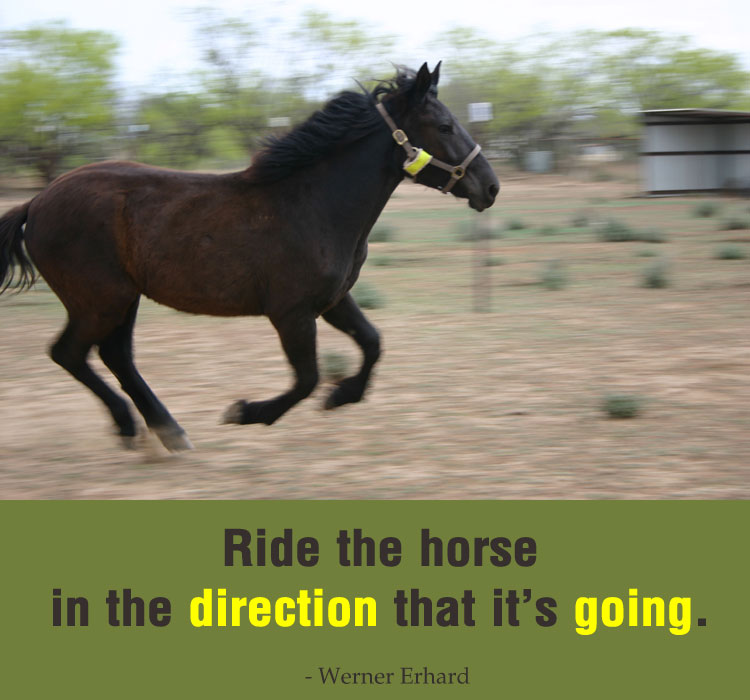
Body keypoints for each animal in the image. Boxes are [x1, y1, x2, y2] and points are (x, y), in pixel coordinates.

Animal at [0, 62, 499, 451]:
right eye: (445, 126)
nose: (490, 187)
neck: (313, 204)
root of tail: (36, 203)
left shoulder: (333, 301)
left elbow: (373, 343)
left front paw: (343, 395)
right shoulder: (291, 313)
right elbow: (307, 378)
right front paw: (246, 411)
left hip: (123, 299)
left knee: (114, 355)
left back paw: (167, 432)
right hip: (100, 301)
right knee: (70, 353)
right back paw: (137, 428)